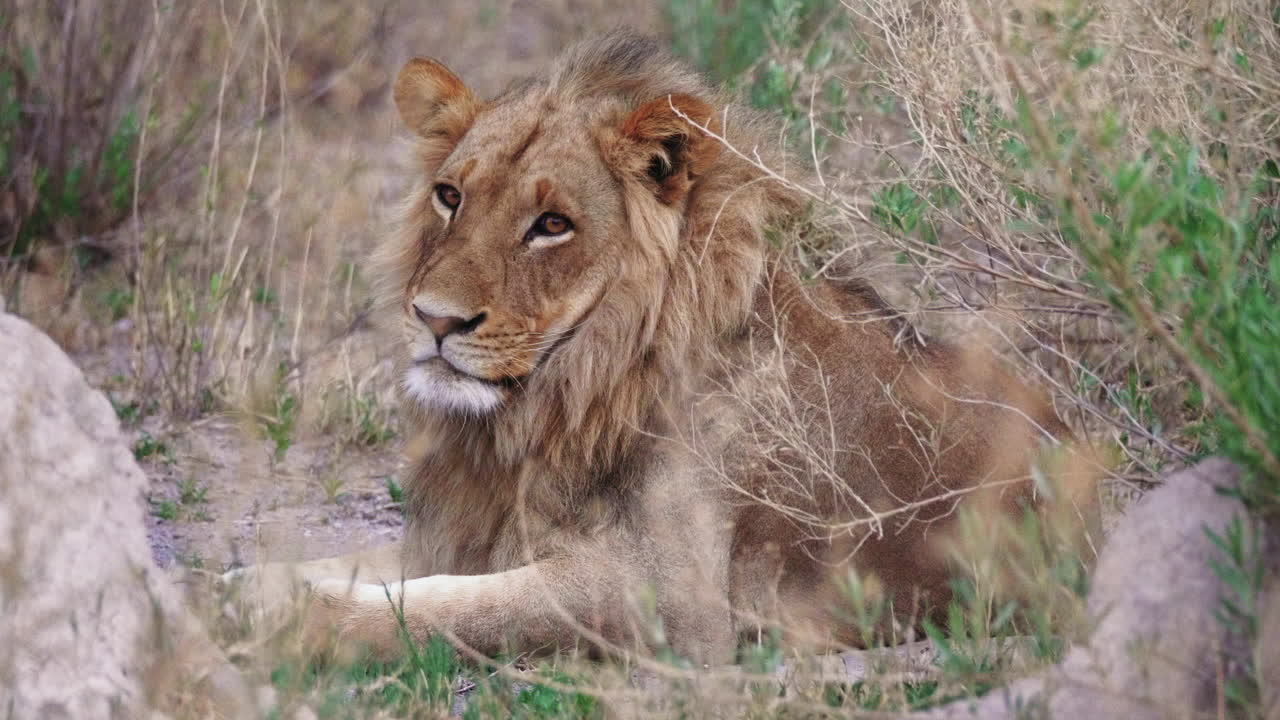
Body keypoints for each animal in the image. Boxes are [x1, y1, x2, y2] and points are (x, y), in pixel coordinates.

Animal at [228, 31, 1073, 664]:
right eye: (450, 196)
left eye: (552, 225)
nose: (434, 321)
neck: (564, 395)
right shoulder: (473, 532)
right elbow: (354, 570)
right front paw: (238, 588)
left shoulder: (677, 601)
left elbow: (453, 612)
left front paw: (294, 621)